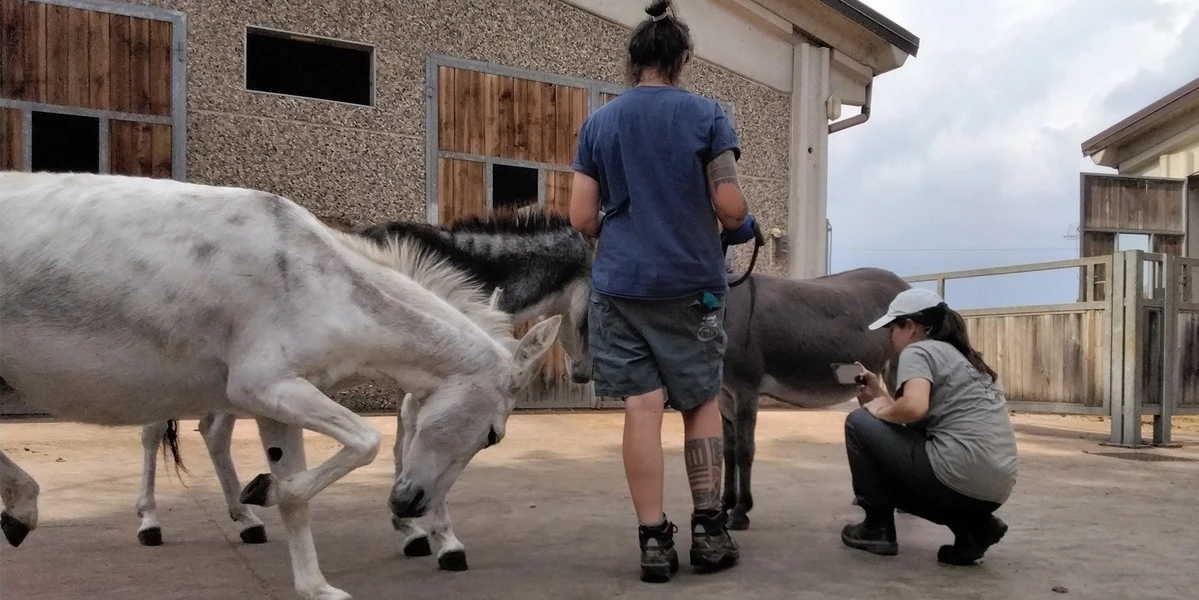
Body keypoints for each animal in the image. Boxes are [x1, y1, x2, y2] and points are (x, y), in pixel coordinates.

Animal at [129, 210, 595, 573]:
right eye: (600, 305)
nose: (584, 375)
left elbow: (407, 443)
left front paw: (410, 530)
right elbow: (418, 443)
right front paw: (443, 540)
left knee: (213, 432)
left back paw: (245, 520)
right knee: (155, 432)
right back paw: (150, 522)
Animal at [717, 267, 911, 530]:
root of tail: (905, 285)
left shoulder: (745, 390)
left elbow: (743, 450)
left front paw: (740, 511)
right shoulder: (725, 396)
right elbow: (728, 452)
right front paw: (724, 506)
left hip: (898, 368)